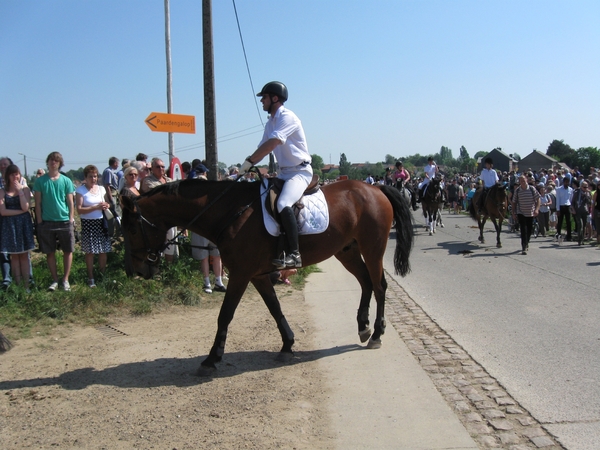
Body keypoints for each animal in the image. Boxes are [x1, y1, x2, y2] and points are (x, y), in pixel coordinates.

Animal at [120, 179, 414, 376]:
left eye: (132, 229)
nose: (135, 271)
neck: (230, 212)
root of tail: (376, 188)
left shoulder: (240, 274)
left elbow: (225, 315)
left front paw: (212, 358)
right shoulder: (257, 276)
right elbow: (274, 308)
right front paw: (287, 345)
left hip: (372, 248)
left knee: (379, 286)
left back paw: (376, 333)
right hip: (347, 250)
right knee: (366, 282)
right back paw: (363, 327)